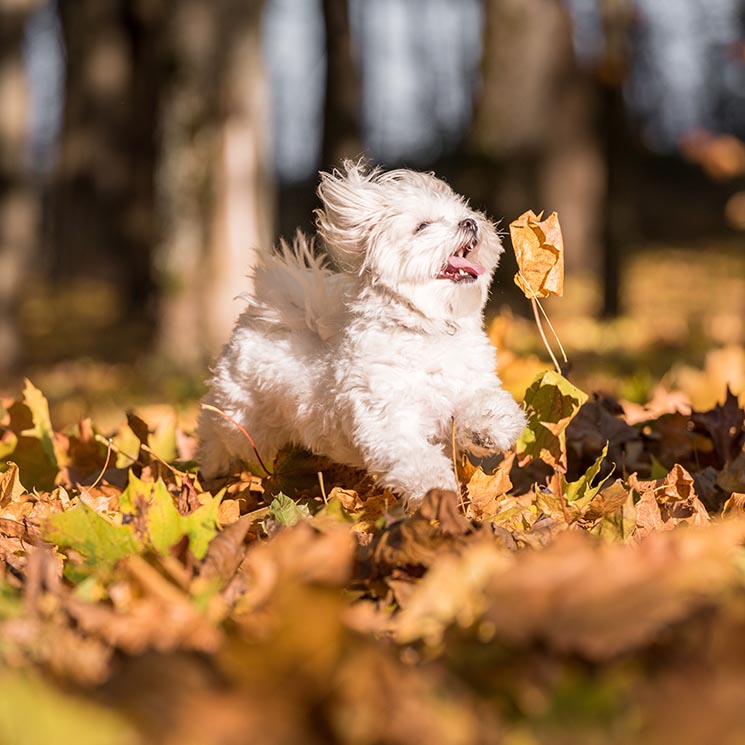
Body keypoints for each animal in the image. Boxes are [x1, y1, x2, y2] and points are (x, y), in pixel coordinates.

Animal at [198, 163, 524, 508]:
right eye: (423, 226)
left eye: (465, 213)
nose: (470, 222)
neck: (428, 328)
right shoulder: (387, 417)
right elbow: (414, 456)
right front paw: (434, 488)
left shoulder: (471, 383)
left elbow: (484, 402)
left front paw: (489, 427)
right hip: (240, 421)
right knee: (218, 436)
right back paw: (211, 474)